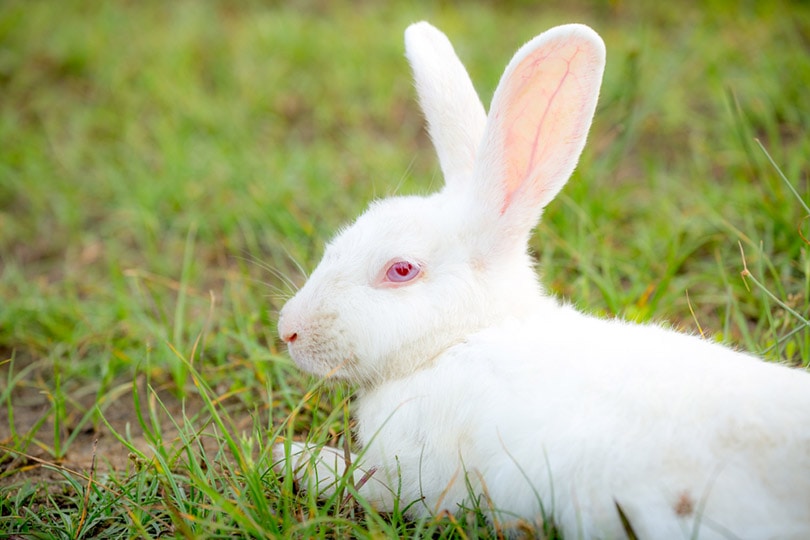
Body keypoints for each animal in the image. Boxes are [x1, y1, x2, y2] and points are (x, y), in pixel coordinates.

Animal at [274, 20, 810, 539]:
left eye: (401, 270)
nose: (288, 330)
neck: (461, 339)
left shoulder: (419, 481)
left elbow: (365, 483)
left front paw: (291, 457)